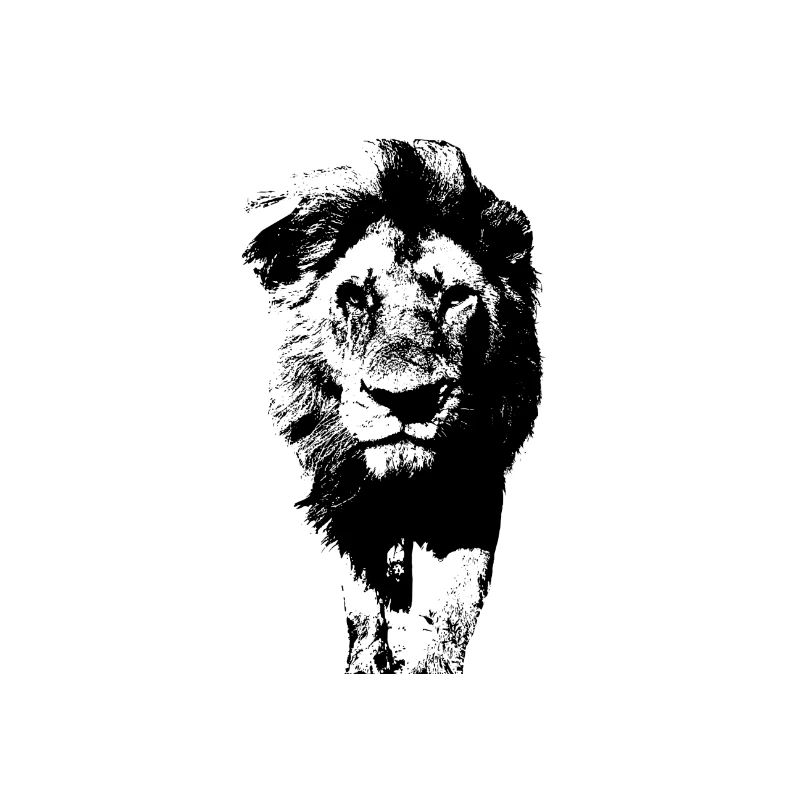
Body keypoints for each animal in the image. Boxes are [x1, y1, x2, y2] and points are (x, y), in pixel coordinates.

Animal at [243, 139, 541, 673]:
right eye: (355, 297)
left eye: (456, 297)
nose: (406, 399)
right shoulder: (346, 494)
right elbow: (362, 600)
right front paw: (367, 662)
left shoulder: (474, 488)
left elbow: (456, 601)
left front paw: (434, 667)